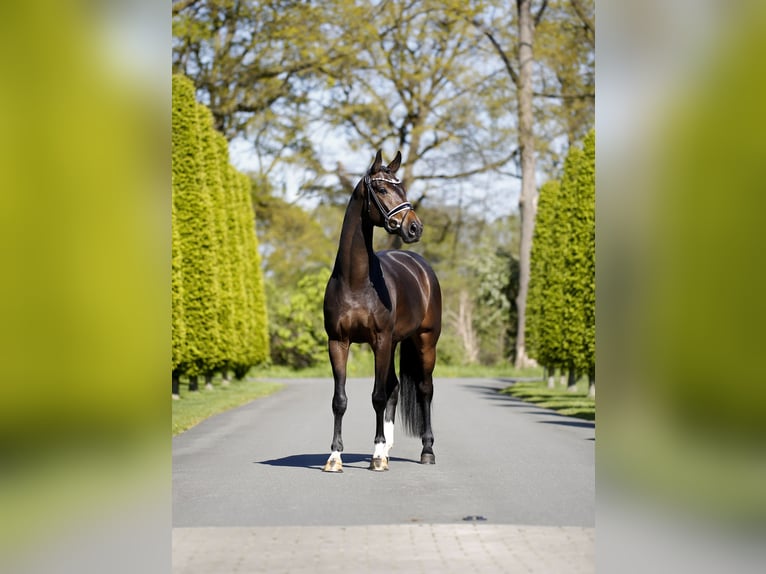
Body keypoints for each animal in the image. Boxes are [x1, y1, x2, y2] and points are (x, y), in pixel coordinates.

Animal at [322, 150, 442, 472]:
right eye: (382, 189)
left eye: (403, 188)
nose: (414, 227)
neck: (355, 281)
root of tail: (420, 266)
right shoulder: (338, 342)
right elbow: (339, 399)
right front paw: (334, 457)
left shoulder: (380, 340)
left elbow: (377, 396)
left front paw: (376, 456)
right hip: (395, 342)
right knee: (396, 387)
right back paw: (387, 445)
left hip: (424, 340)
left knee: (424, 389)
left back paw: (426, 450)